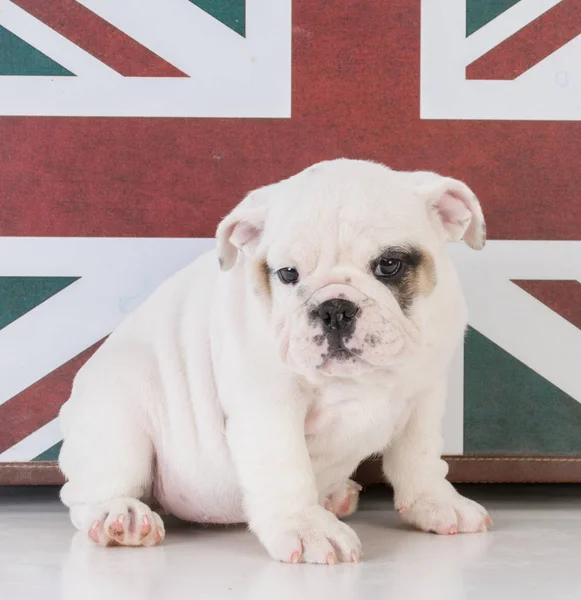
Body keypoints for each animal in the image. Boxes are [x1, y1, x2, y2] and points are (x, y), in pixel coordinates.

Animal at [59, 158, 490, 564]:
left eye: (388, 265)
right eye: (287, 274)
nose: (334, 309)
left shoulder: (426, 394)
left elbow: (420, 456)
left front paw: (436, 502)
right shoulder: (270, 405)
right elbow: (286, 466)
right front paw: (307, 527)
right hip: (118, 418)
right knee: (88, 494)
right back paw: (121, 517)